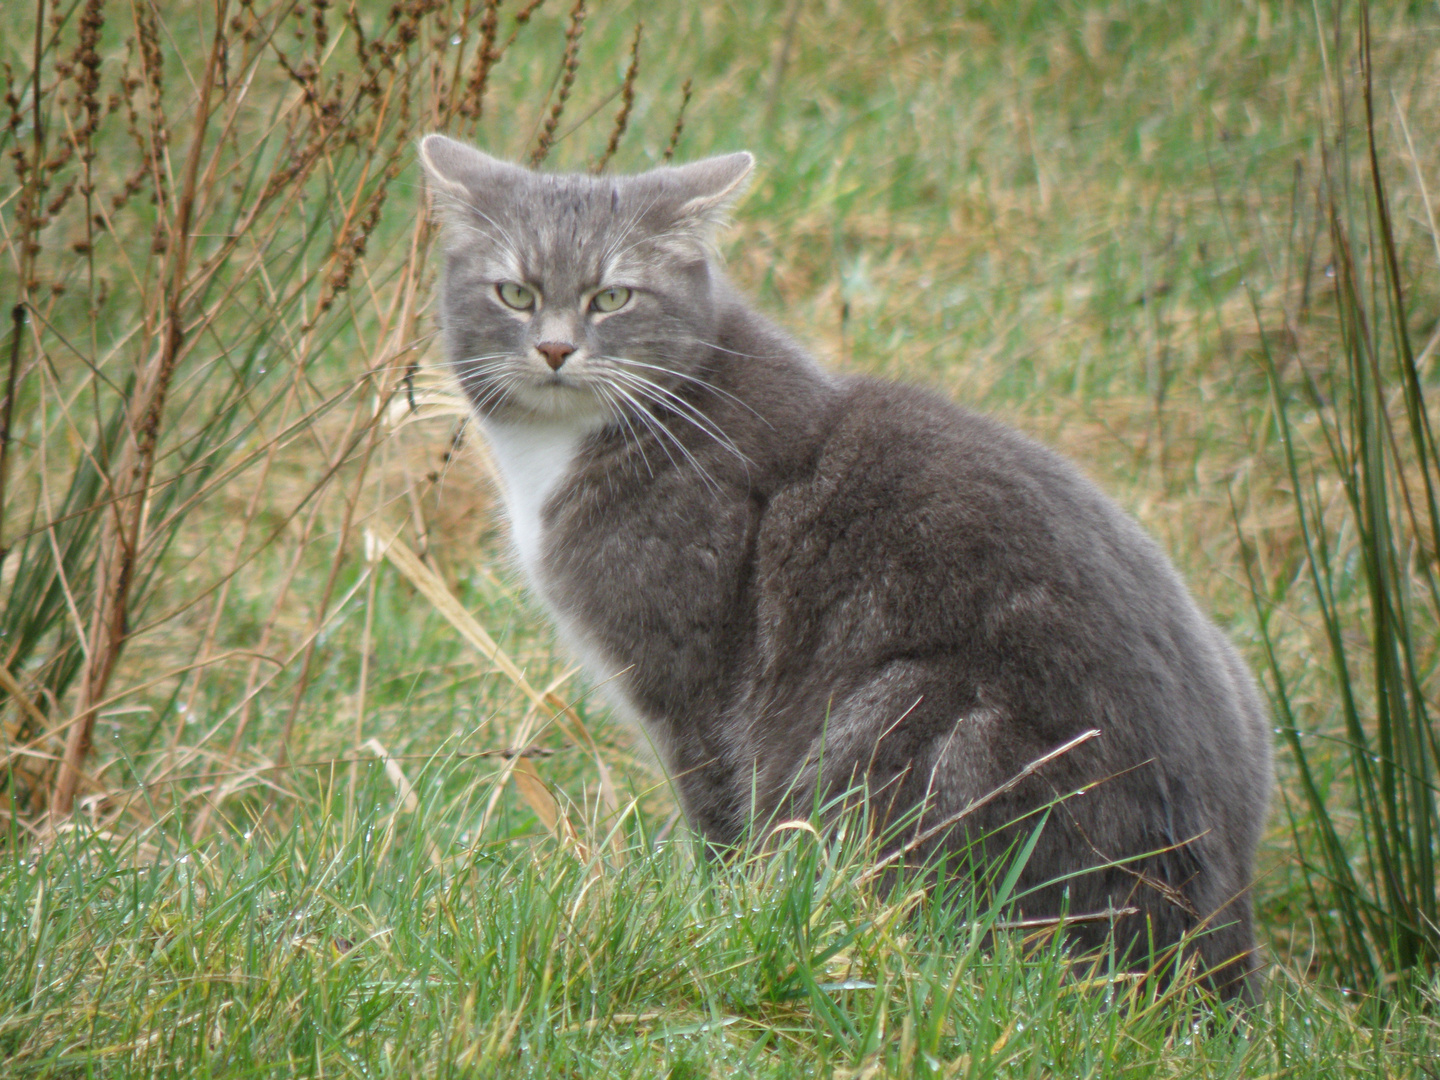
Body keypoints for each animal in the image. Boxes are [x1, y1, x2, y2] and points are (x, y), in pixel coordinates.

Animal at [417, 135, 1272, 1008]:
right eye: (516, 292)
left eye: (612, 296)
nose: (556, 348)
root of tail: (1205, 949)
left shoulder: (692, 685)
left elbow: (715, 811)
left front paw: (716, 910)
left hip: (906, 731)